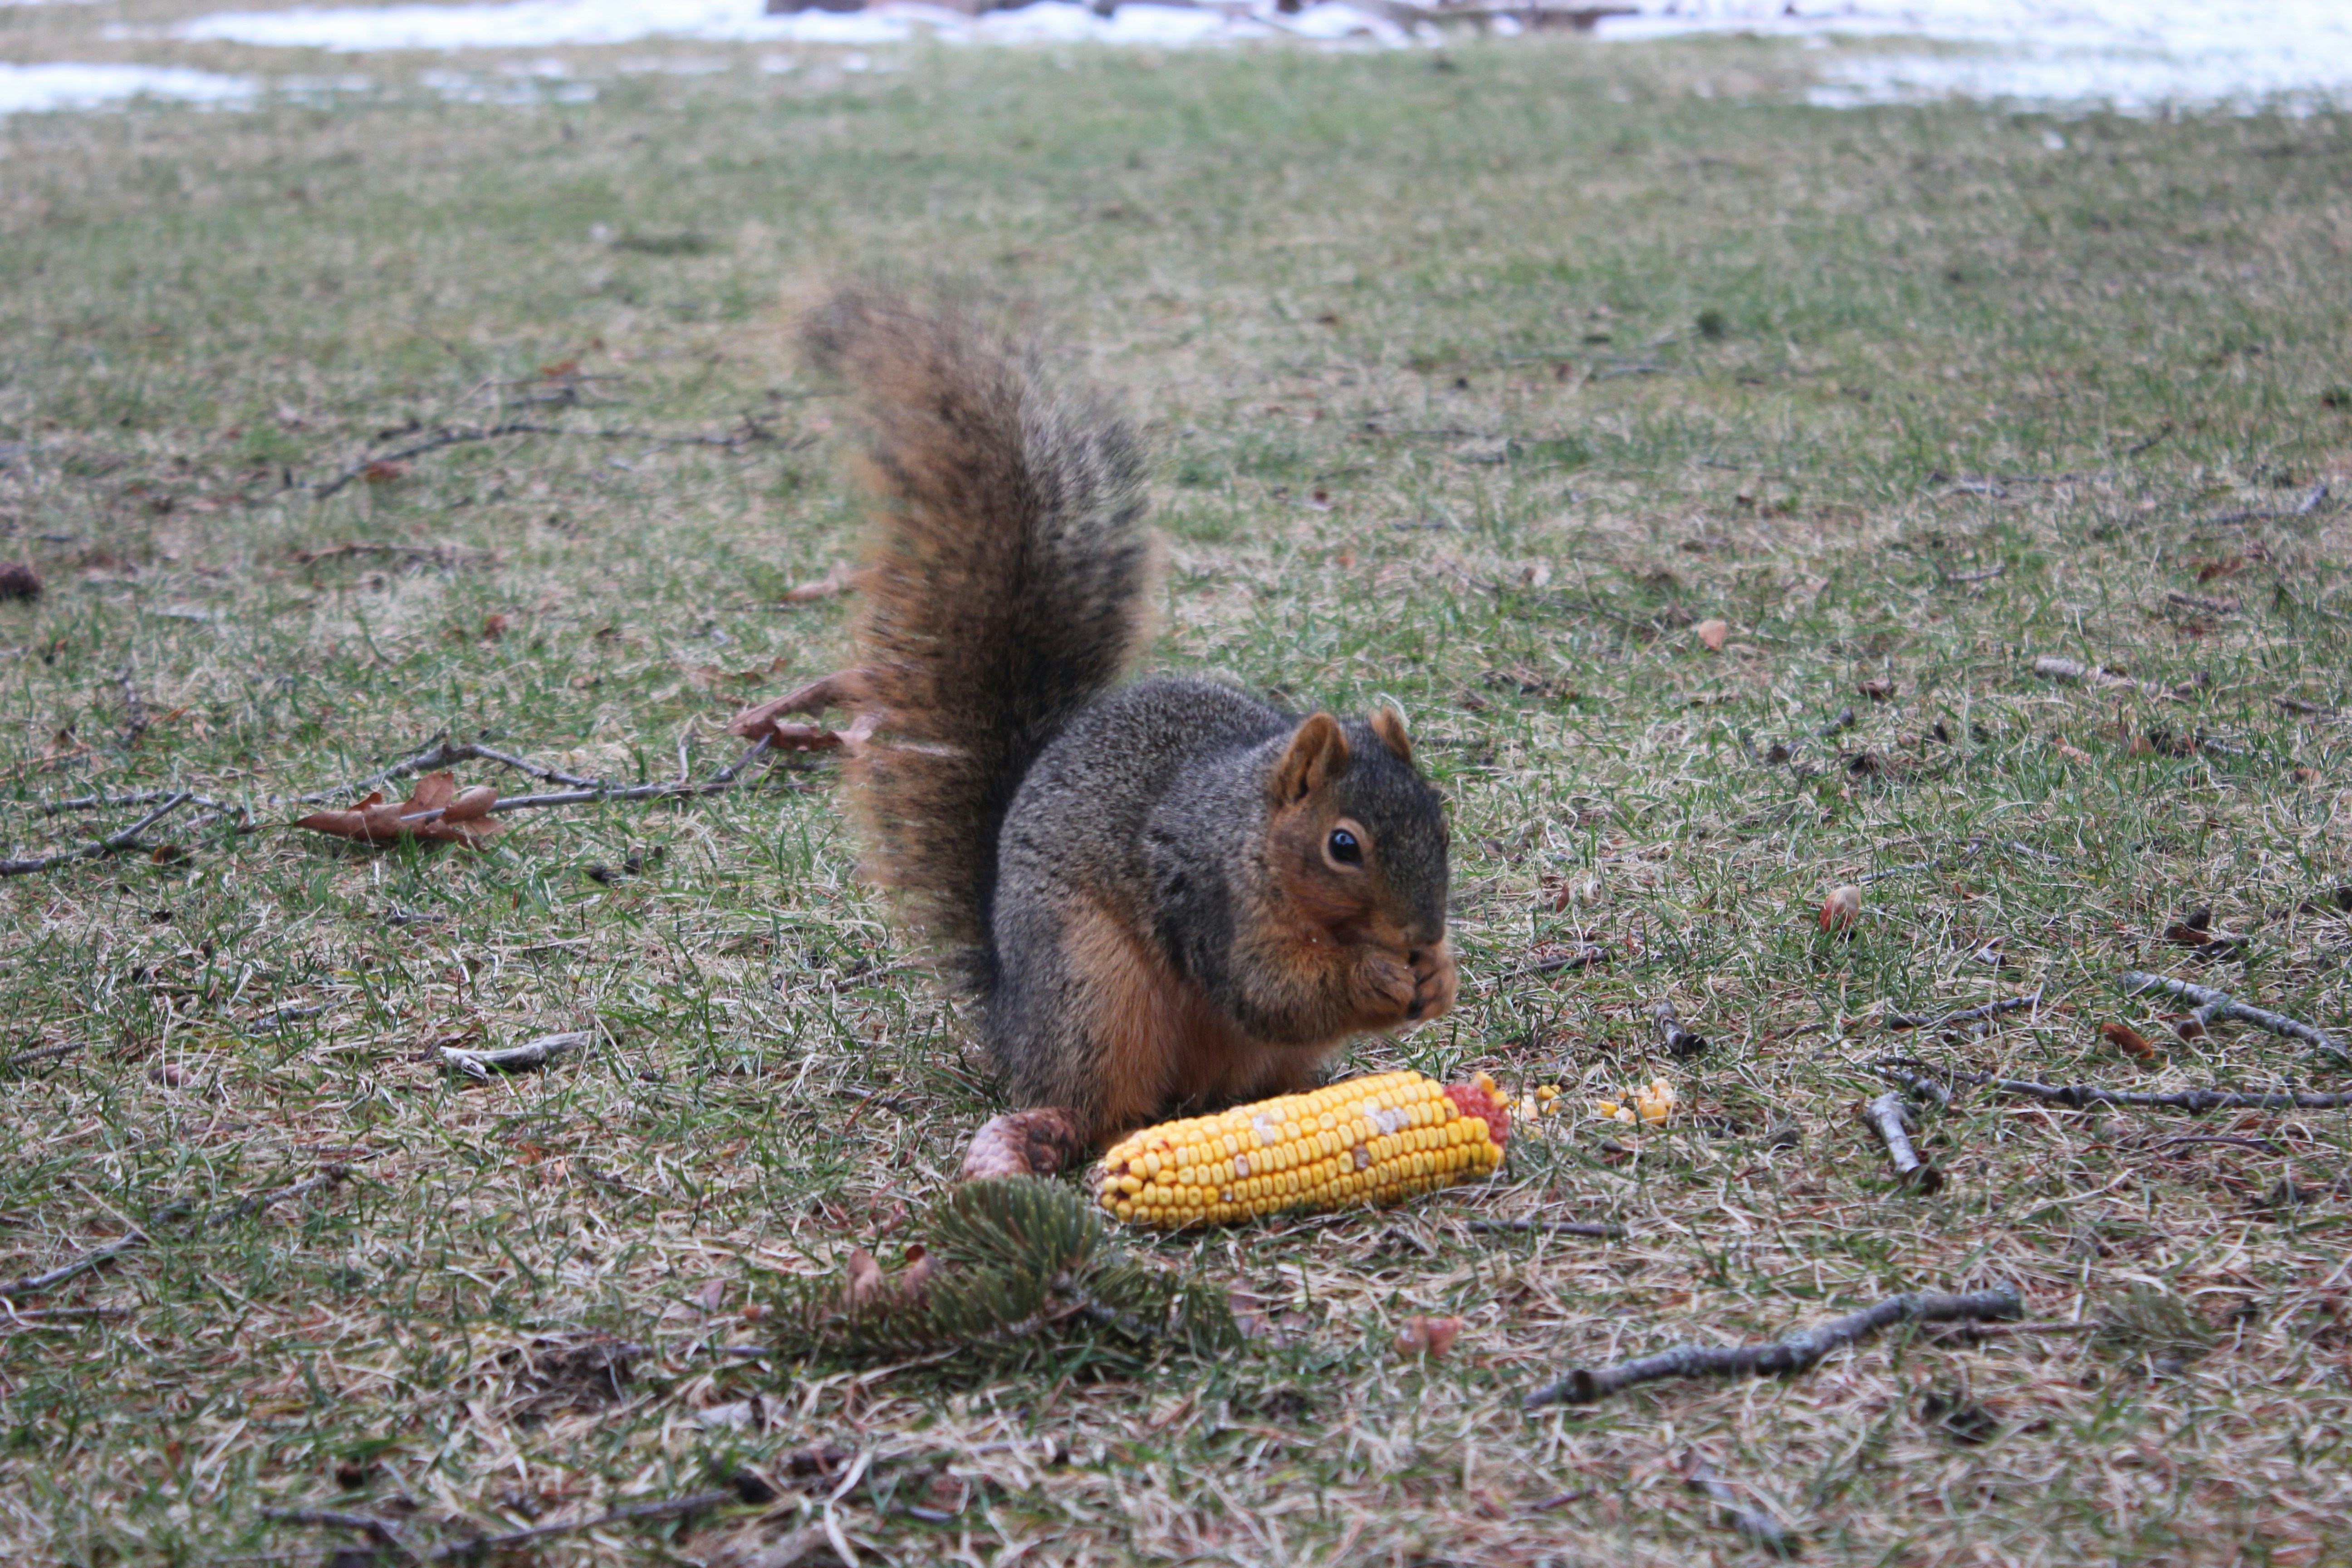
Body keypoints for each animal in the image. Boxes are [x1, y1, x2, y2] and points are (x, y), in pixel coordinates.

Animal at [804, 285, 1457, 1181]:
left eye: (1442, 822)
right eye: (1343, 846)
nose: (1421, 934)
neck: (1251, 830)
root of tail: (1012, 1020)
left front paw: (1441, 976)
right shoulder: (1209, 898)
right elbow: (1268, 991)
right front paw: (1380, 975)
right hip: (1092, 990)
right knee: (1100, 1100)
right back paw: (1098, 1137)